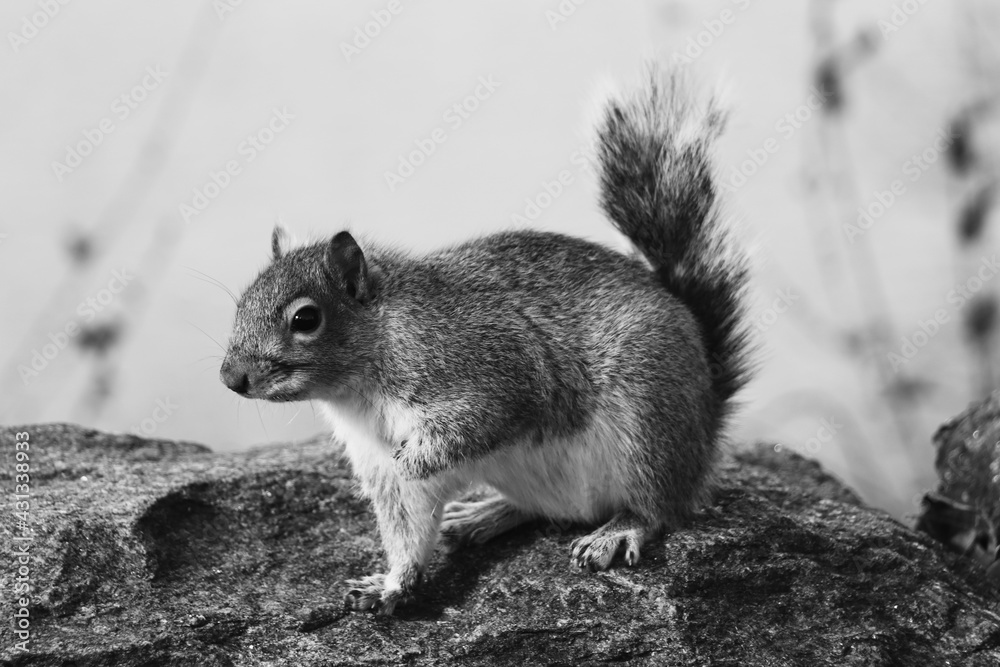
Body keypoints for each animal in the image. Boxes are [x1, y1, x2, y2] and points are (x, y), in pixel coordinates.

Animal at [220, 65, 752, 617]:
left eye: (306, 319)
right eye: (240, 302)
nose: (231, 378)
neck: (364, 379)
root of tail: (707, 415)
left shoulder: (490, 367)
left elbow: (485, 418)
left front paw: (415, 458)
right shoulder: (382, 472)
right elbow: (407, 533)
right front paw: (389, 584)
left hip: (648, 424)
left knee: (659, 507)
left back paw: (616, 530)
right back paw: (485, 514)